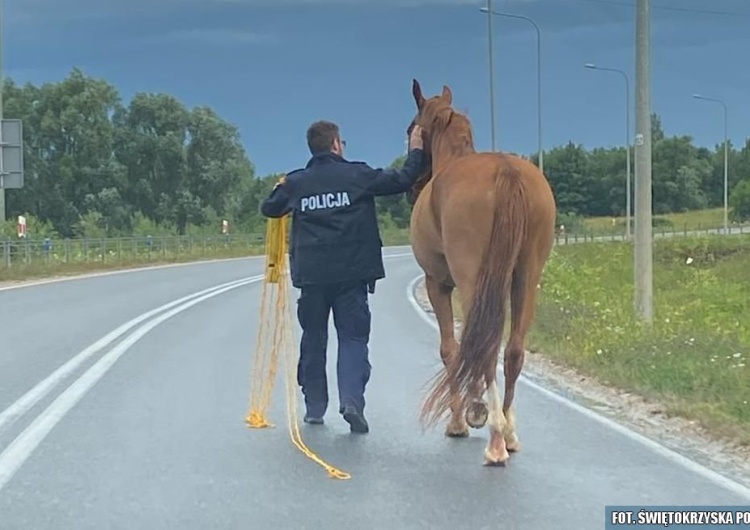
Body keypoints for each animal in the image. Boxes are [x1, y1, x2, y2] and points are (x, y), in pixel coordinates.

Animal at [406, 77, 560, 462]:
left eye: (410, 129)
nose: (412, 188)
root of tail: (506, 171)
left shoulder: (438, 284)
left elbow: (451, 349)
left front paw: (462, 419)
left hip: (472, 280)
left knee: (485, 347)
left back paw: (492, 436)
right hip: (525, 279)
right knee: (513, 350)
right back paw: (508, 432)